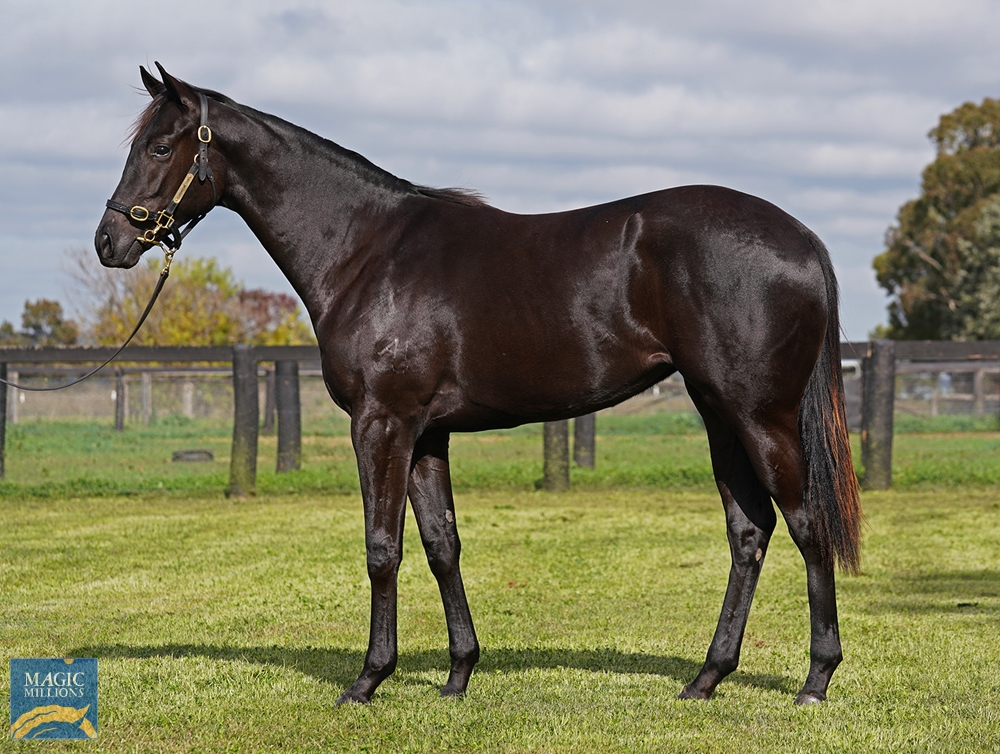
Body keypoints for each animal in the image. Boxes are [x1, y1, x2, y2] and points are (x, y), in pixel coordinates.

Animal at [95, 66, 860, 704]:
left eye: (160, 148)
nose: (110, 242)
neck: (366, 249)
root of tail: (802, 239)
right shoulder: (427, 433)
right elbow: (442, 545)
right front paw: (458, 674)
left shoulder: (381, 423)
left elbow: (382, 547)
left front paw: (368, 680)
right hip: (719, 414)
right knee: (749, 531)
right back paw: (707, 678)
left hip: (759, 416)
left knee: (806, 524)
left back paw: (816, 680)